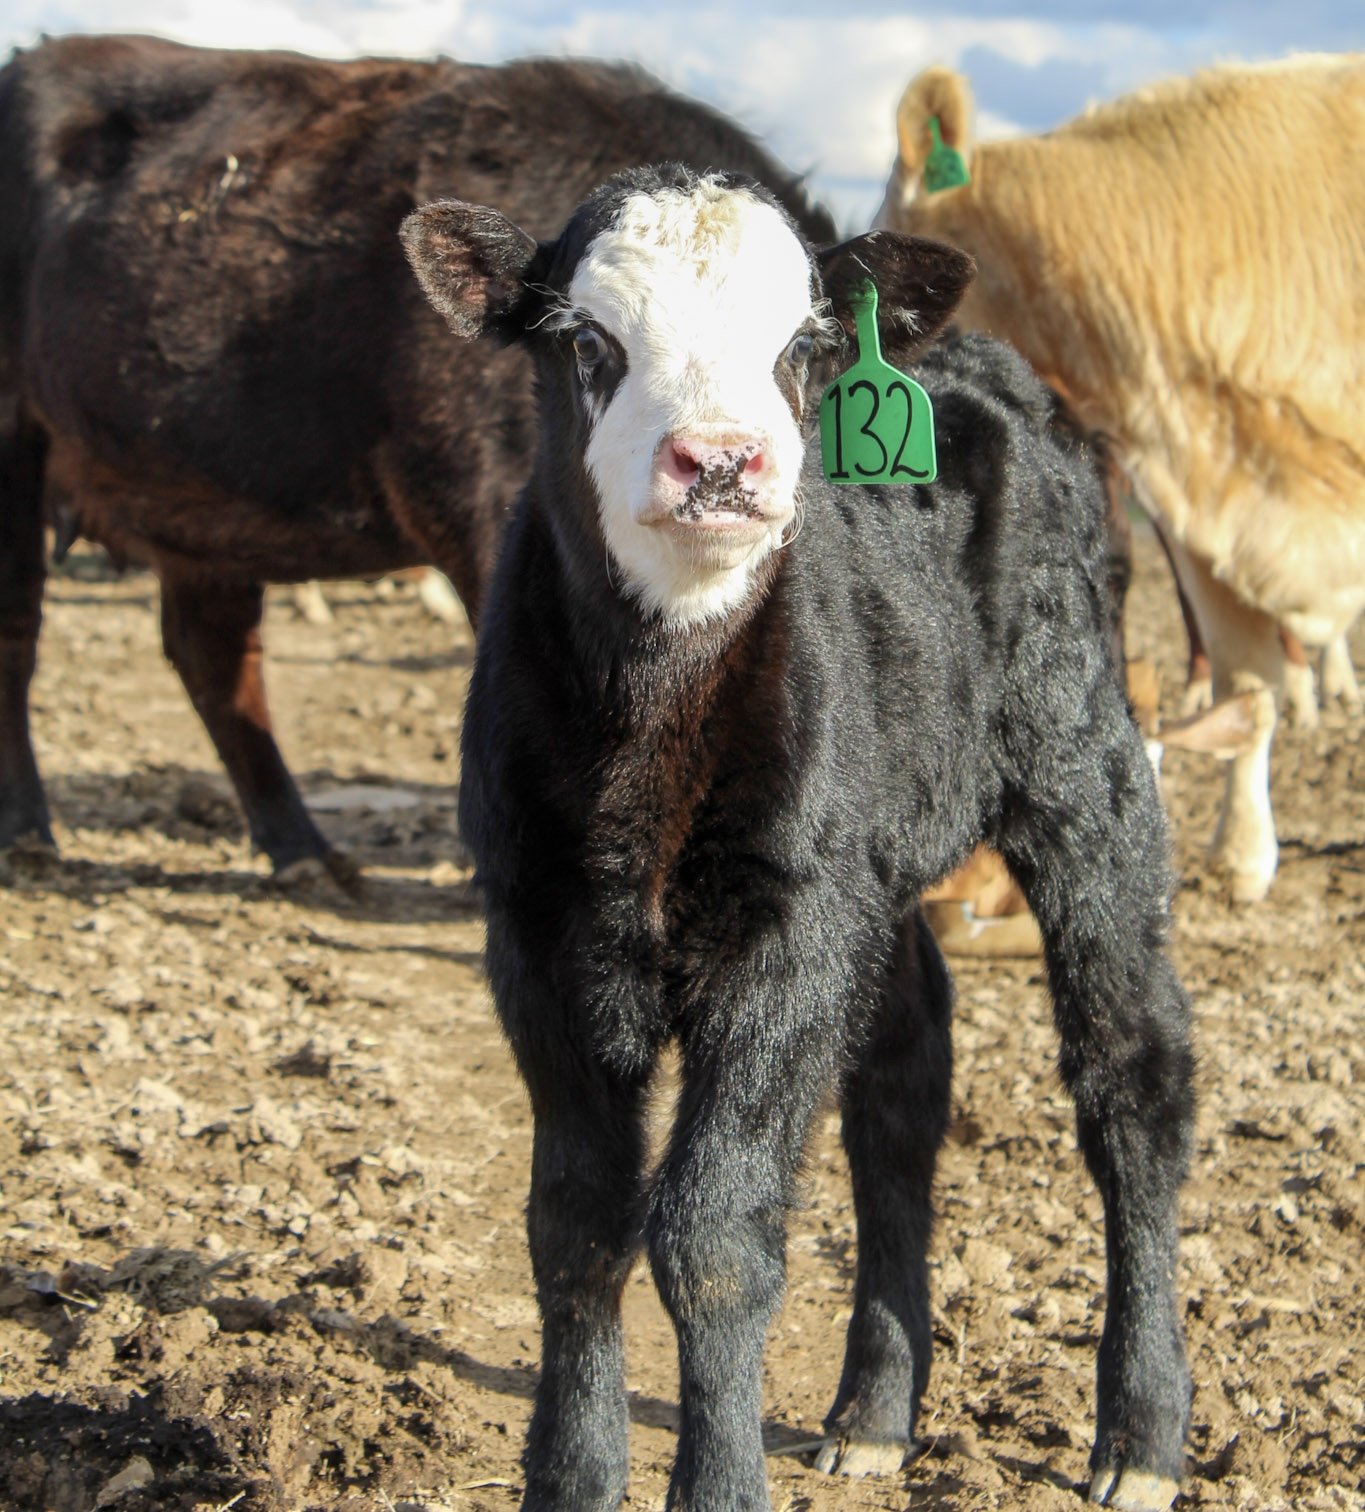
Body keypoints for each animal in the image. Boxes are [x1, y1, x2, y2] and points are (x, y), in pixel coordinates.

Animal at [0, 32, 835, 875]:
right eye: (587, 342)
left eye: (803, 347)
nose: (722, 461)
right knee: (22, 629)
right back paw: (28, 831)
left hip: (200, 497)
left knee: (214, 656)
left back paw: (302, 850)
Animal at [402, 165, 1194, 1512]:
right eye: (586, 342)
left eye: (807, 346)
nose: (722, 459)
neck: (650, 734)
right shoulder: (535, 927)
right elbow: (575, 1224)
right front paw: (572, 1476)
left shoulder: (788, 934)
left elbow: (713, 1233)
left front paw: (718, 1484)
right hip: (878, 852)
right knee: (904, 1083)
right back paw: (874, 1410)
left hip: (1083, 760)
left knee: (1129, 1079)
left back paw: (1140, 1437)